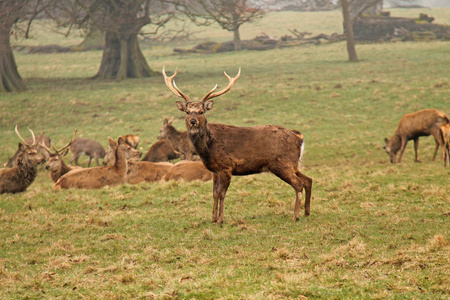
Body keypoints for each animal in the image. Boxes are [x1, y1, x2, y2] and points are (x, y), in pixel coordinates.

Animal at [163, 67, 314, 224]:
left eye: (201, 111)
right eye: (187, 112)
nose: (193, 121)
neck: (209, 148)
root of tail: (299, 139)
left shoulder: (226, 166)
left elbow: (222, 193)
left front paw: (220, 219)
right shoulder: (215, 170)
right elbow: (214, 193)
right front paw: (212, 218)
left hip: (282, 163)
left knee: (298, 184)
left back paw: (296, 215)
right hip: (293, 164)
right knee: (308, 180)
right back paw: (306, 212)